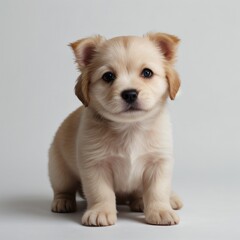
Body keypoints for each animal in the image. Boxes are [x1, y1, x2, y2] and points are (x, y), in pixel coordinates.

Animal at [49, 31, 184, 225]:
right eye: (108, 76)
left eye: (147, 73)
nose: (130, 94)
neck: (130, 128)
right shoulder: (95, 165)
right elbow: (101, 193)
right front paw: (101, 212)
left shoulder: (159, 163)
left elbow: (157, 191)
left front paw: (160, 211)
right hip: (59, 171)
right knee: (63, 189)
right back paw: (62, 202)